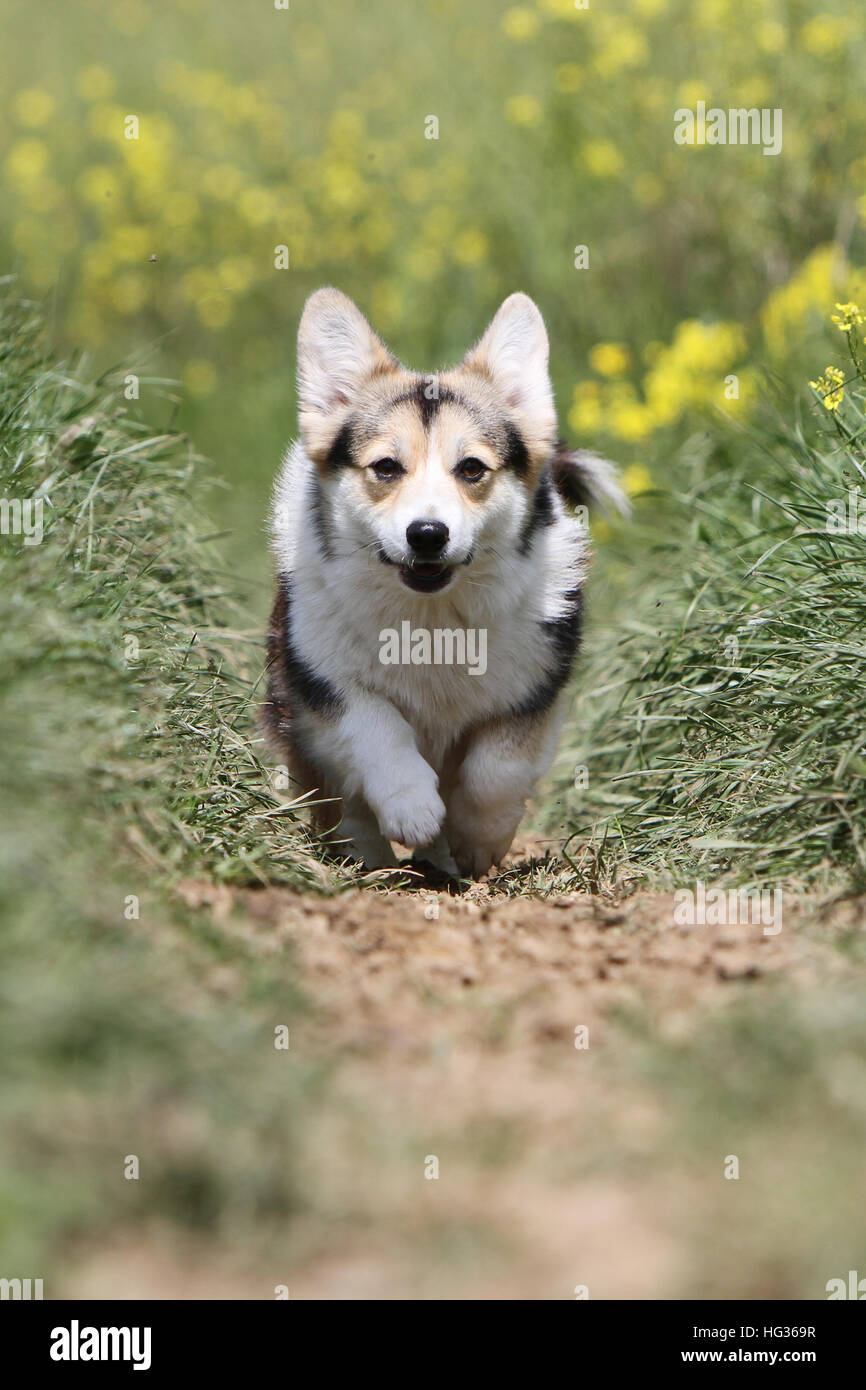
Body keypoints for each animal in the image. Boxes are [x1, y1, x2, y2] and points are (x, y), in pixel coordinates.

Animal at [261, 290, 625, 878]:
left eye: (472, 468)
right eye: (386, 467)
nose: (428, 534)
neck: (433, 618)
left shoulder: (533, 689)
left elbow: (496, 769)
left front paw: (478, 841)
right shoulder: (323, 681)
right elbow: (377, 729)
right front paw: (412, 809)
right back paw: (371, 856)